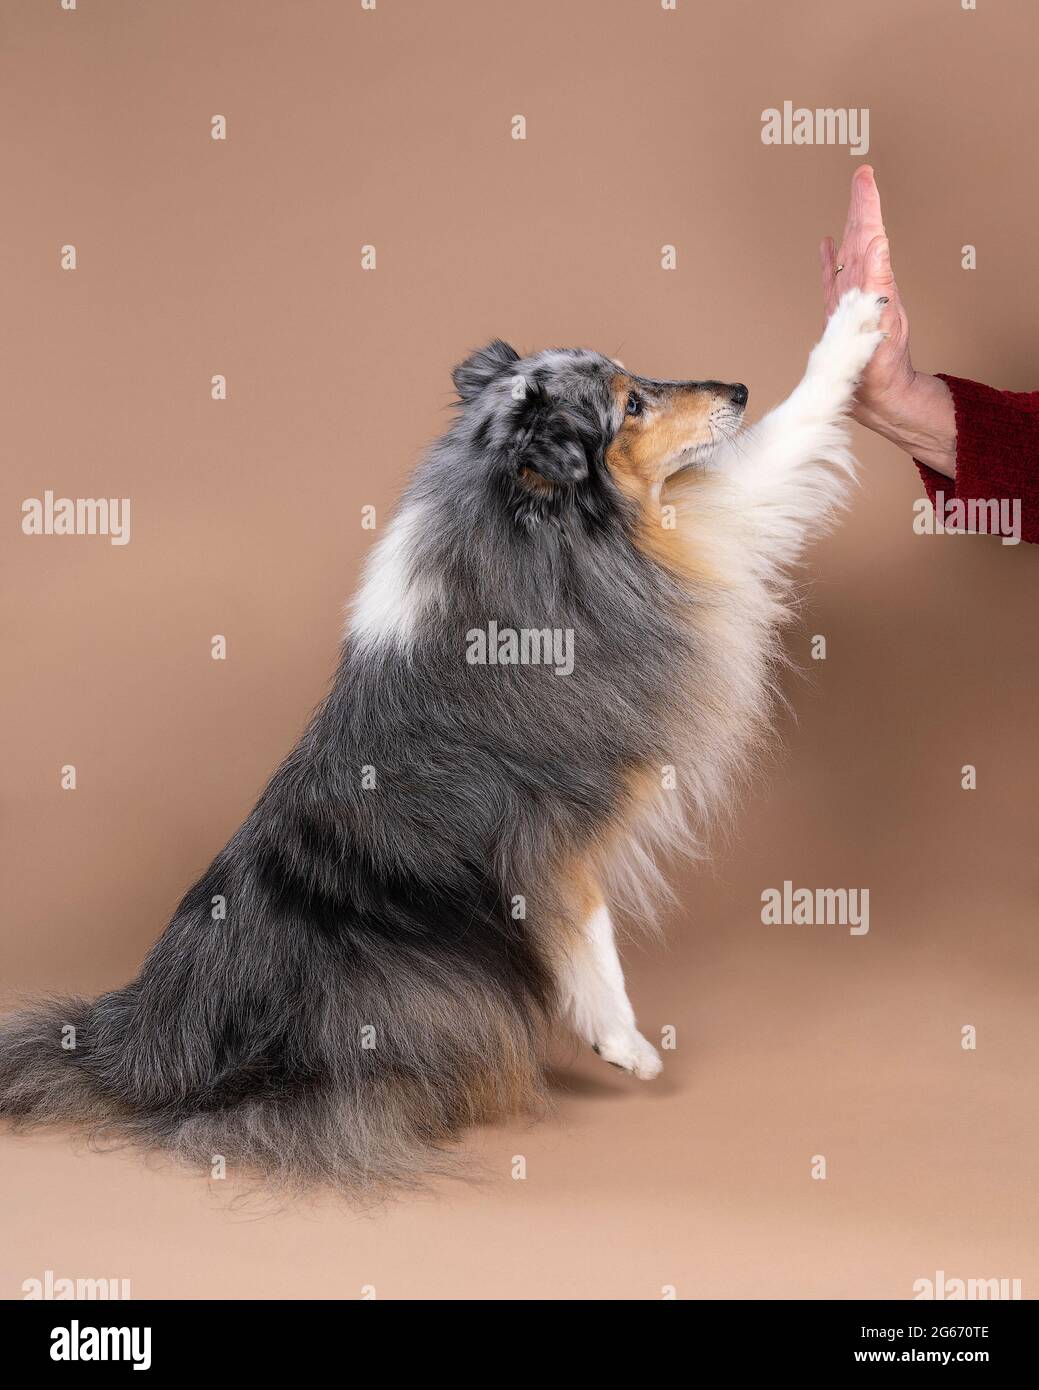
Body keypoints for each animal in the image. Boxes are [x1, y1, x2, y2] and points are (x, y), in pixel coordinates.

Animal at [0, 287, 884, 1189]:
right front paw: (626, 1045)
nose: (736, 389)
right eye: (630, 404)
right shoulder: (546, 826)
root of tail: (143, 1043)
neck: (518, 518)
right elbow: (587, 930)